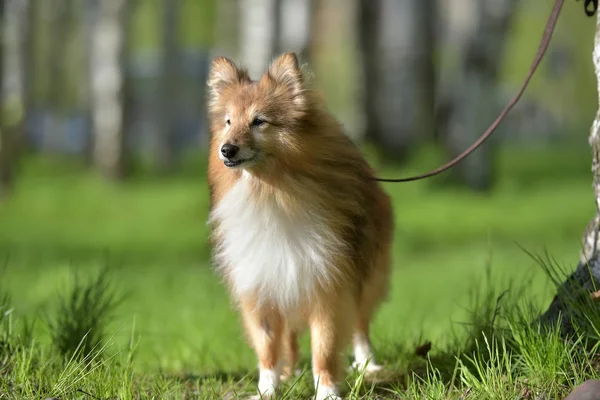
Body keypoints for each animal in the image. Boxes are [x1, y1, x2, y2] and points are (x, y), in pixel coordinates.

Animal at [206, 53, 394, 400]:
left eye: (259, 121)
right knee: (290, 338)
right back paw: (289, 371)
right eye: (227, 121)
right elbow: (268, 347)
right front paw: (267, 389)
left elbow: (325, 347)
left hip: (367, 272)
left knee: (361, 324)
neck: (273, 193)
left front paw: (328, 391)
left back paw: (367, 365)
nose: (226, 149)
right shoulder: (264, 284)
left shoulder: (328, 285)